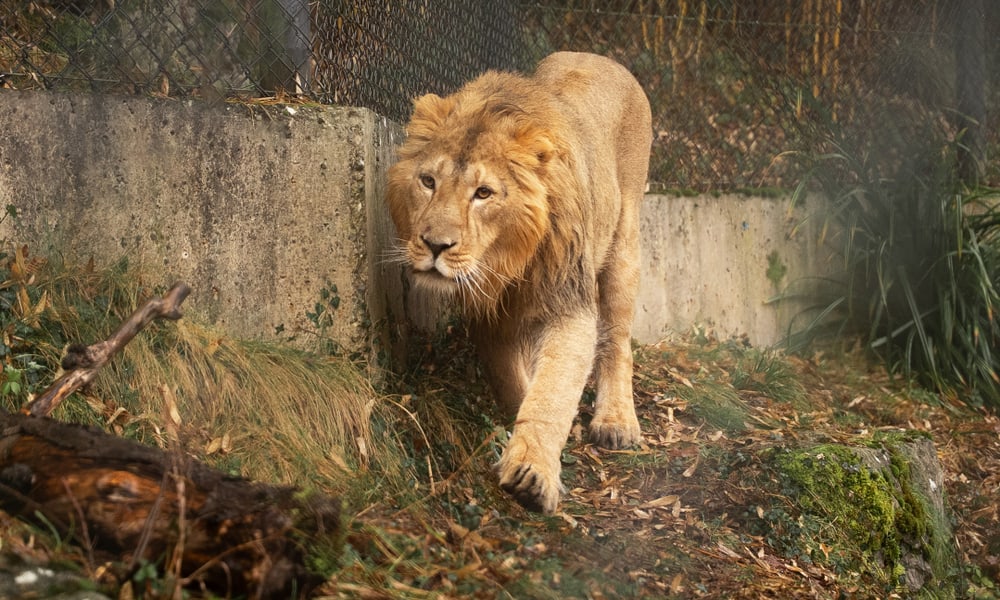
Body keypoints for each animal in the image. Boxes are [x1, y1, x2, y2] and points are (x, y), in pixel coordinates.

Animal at [386, 52, 652, 514]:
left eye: (484, 193)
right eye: (428, 181)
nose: (436, 246)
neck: (507, 263)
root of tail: (601, 57)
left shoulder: (569, 302)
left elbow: (552, 391)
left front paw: (532, 473)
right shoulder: (488, 316)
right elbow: (514, 382)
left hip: (623, 241)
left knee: (617, 339)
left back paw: (616, 421)